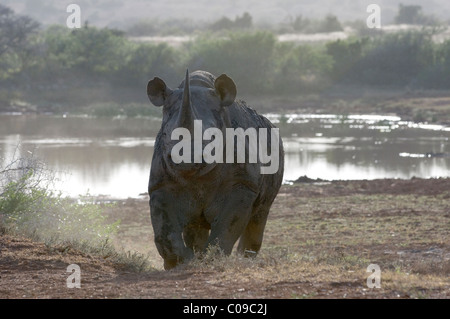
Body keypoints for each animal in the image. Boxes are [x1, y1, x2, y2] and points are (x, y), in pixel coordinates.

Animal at [146, 70, 284, 270]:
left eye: (213, 138)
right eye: (164, 134)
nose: (186, 160)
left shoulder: (242, 184)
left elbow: (227, 227)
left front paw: (212, 259)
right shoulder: (161, 184)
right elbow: (164, 229)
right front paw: (179, 262)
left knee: (260, 214)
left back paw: (245, 259)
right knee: (195, 226)